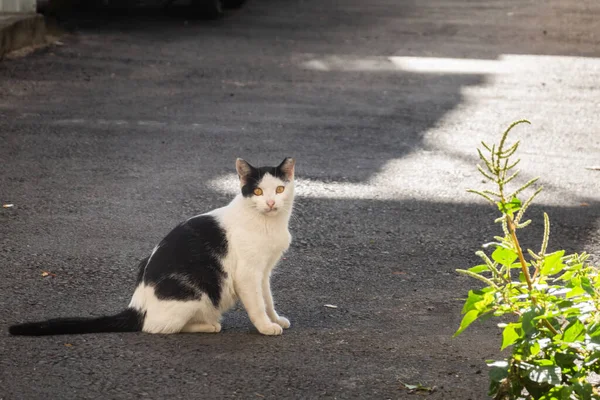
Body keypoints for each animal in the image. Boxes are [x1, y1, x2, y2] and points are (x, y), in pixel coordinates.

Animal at [10, 158, 296, 336]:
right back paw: (208, 325)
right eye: (258, 192)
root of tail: (137, 304)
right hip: (195, 295)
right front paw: (265, 327)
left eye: (280, 189)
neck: (267, 224)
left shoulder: (264, 272)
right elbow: (256, 304)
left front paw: (275, 319)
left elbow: (267, 299)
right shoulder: (247, 274)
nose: (271, 203)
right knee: (156, 327)